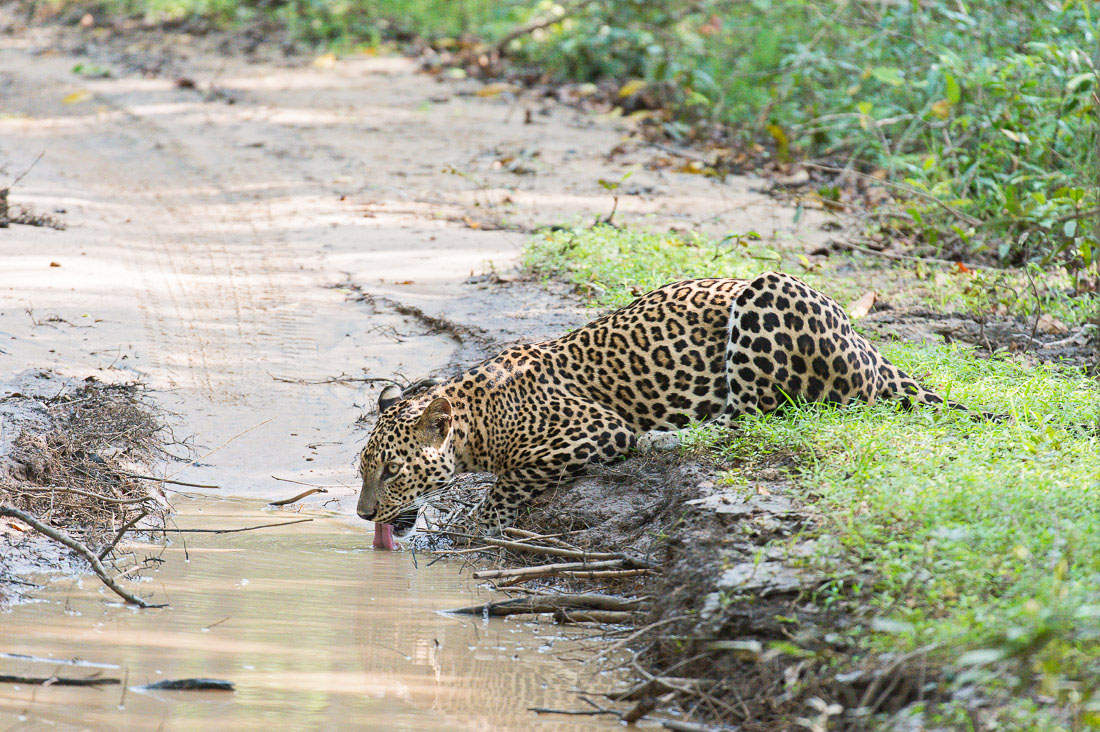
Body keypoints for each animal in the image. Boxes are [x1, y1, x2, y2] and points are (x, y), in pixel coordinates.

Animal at [356, 270, 976, 534]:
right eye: (362, 471)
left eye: (391, 472)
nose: (361, 514)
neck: (479, 420)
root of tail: (866, 343)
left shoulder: (593, 431)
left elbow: (512, 481)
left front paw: (476, 524)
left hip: (766, 295)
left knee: (751, 418)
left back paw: (665, 438)